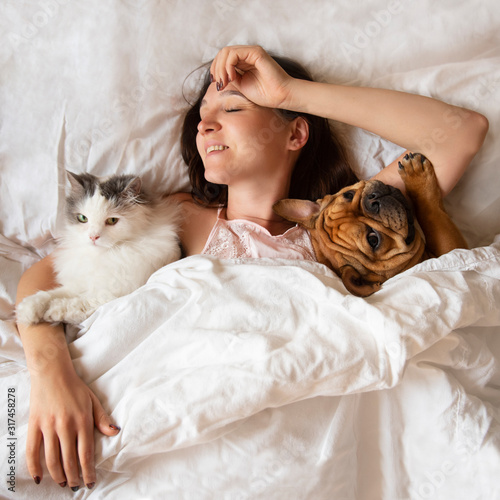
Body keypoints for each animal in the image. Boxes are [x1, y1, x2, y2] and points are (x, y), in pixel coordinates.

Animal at [16, 174, 183, 326]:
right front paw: (27, 311)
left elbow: (75, 304)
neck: (104, 255)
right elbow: (50, 294)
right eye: (83, 218)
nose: (93, 237)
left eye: (112, 220)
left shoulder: (110, 294)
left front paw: (52, 312)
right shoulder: (80, 283)